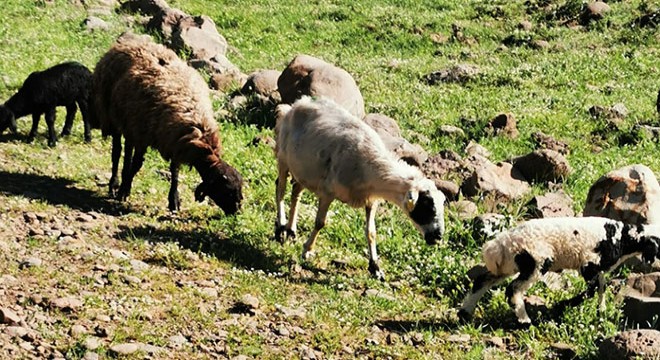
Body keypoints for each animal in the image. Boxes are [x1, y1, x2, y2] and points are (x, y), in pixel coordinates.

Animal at [91, 33, 244, 214]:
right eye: (227, 190)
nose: (237, 212)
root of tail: (126, 43)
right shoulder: (145, 136)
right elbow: (137, 164)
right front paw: (123, 191)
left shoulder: (175, 140)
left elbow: (174, 171)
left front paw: (174, 200)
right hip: (114, 116)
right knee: (117, 152)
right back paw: (114, 184)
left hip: (131, 125)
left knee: (127, 151)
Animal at [270, 97, 446, 280]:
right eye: (427, 206)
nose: (438, 237)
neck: (372, 169)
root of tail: (297, 104)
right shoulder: (327, 192)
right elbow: (320, 223)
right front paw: (307, 250)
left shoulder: (371, 201)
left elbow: (371, 232)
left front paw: (375, 267)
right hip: (283, 157)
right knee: (280, 189)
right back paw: (281, 227)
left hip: (304, 170)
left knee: (296, 191)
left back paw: (291, 230)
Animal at [458, 215, 660, 324]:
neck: (624, 238)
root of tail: (499, 245)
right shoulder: (589, 263)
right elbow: (593, 289)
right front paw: (563, 305)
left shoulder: (598, 269)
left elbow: (601, 287)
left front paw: (601, 312)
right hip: (536, 262)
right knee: (513, 289)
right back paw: (525, 321)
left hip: (507, 265)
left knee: (482, 281)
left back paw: (464, 313)